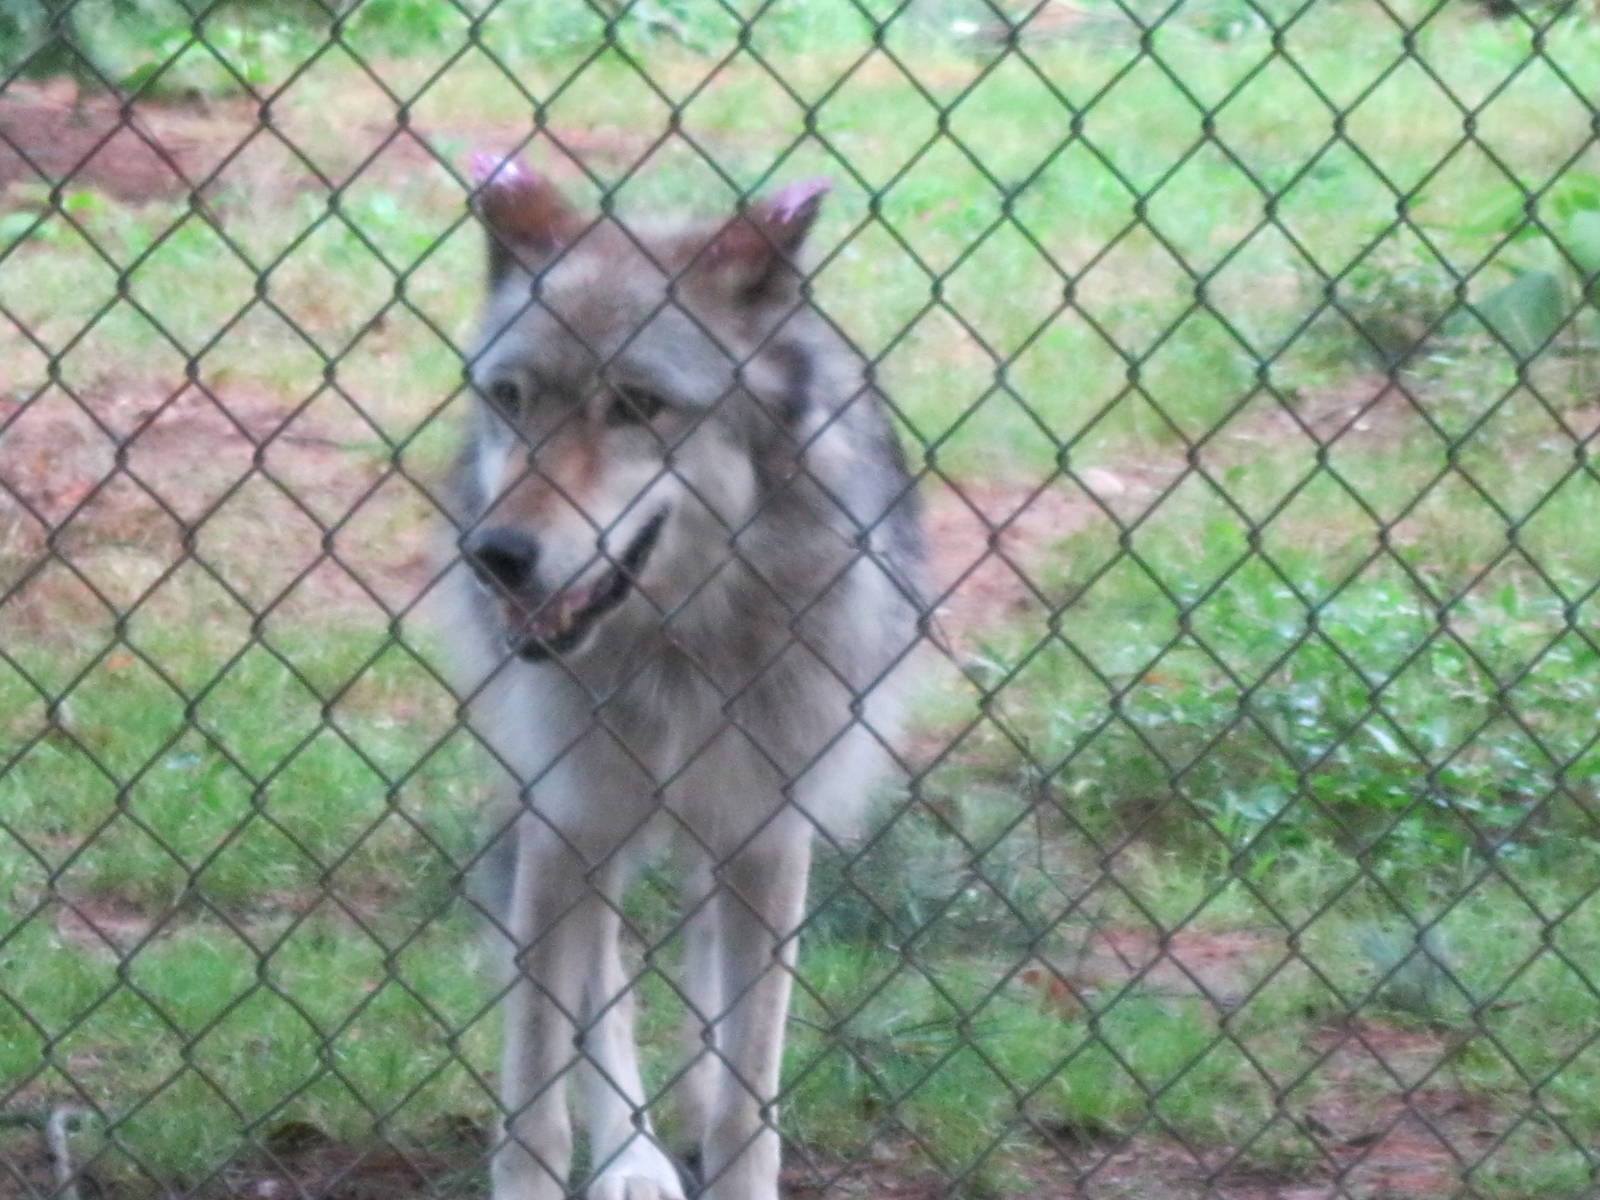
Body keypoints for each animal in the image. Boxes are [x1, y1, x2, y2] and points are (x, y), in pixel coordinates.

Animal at [439, 154, 924, 1200]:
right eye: (510, 398)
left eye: (635, 407)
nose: (494, 556)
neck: (675, 650)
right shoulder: (568, 826)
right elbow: (538, 1095)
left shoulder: (768, 839)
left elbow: (750, 1092)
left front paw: (728, 1142)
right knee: (609, 995)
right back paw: (634, 1160)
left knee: (708, 986)